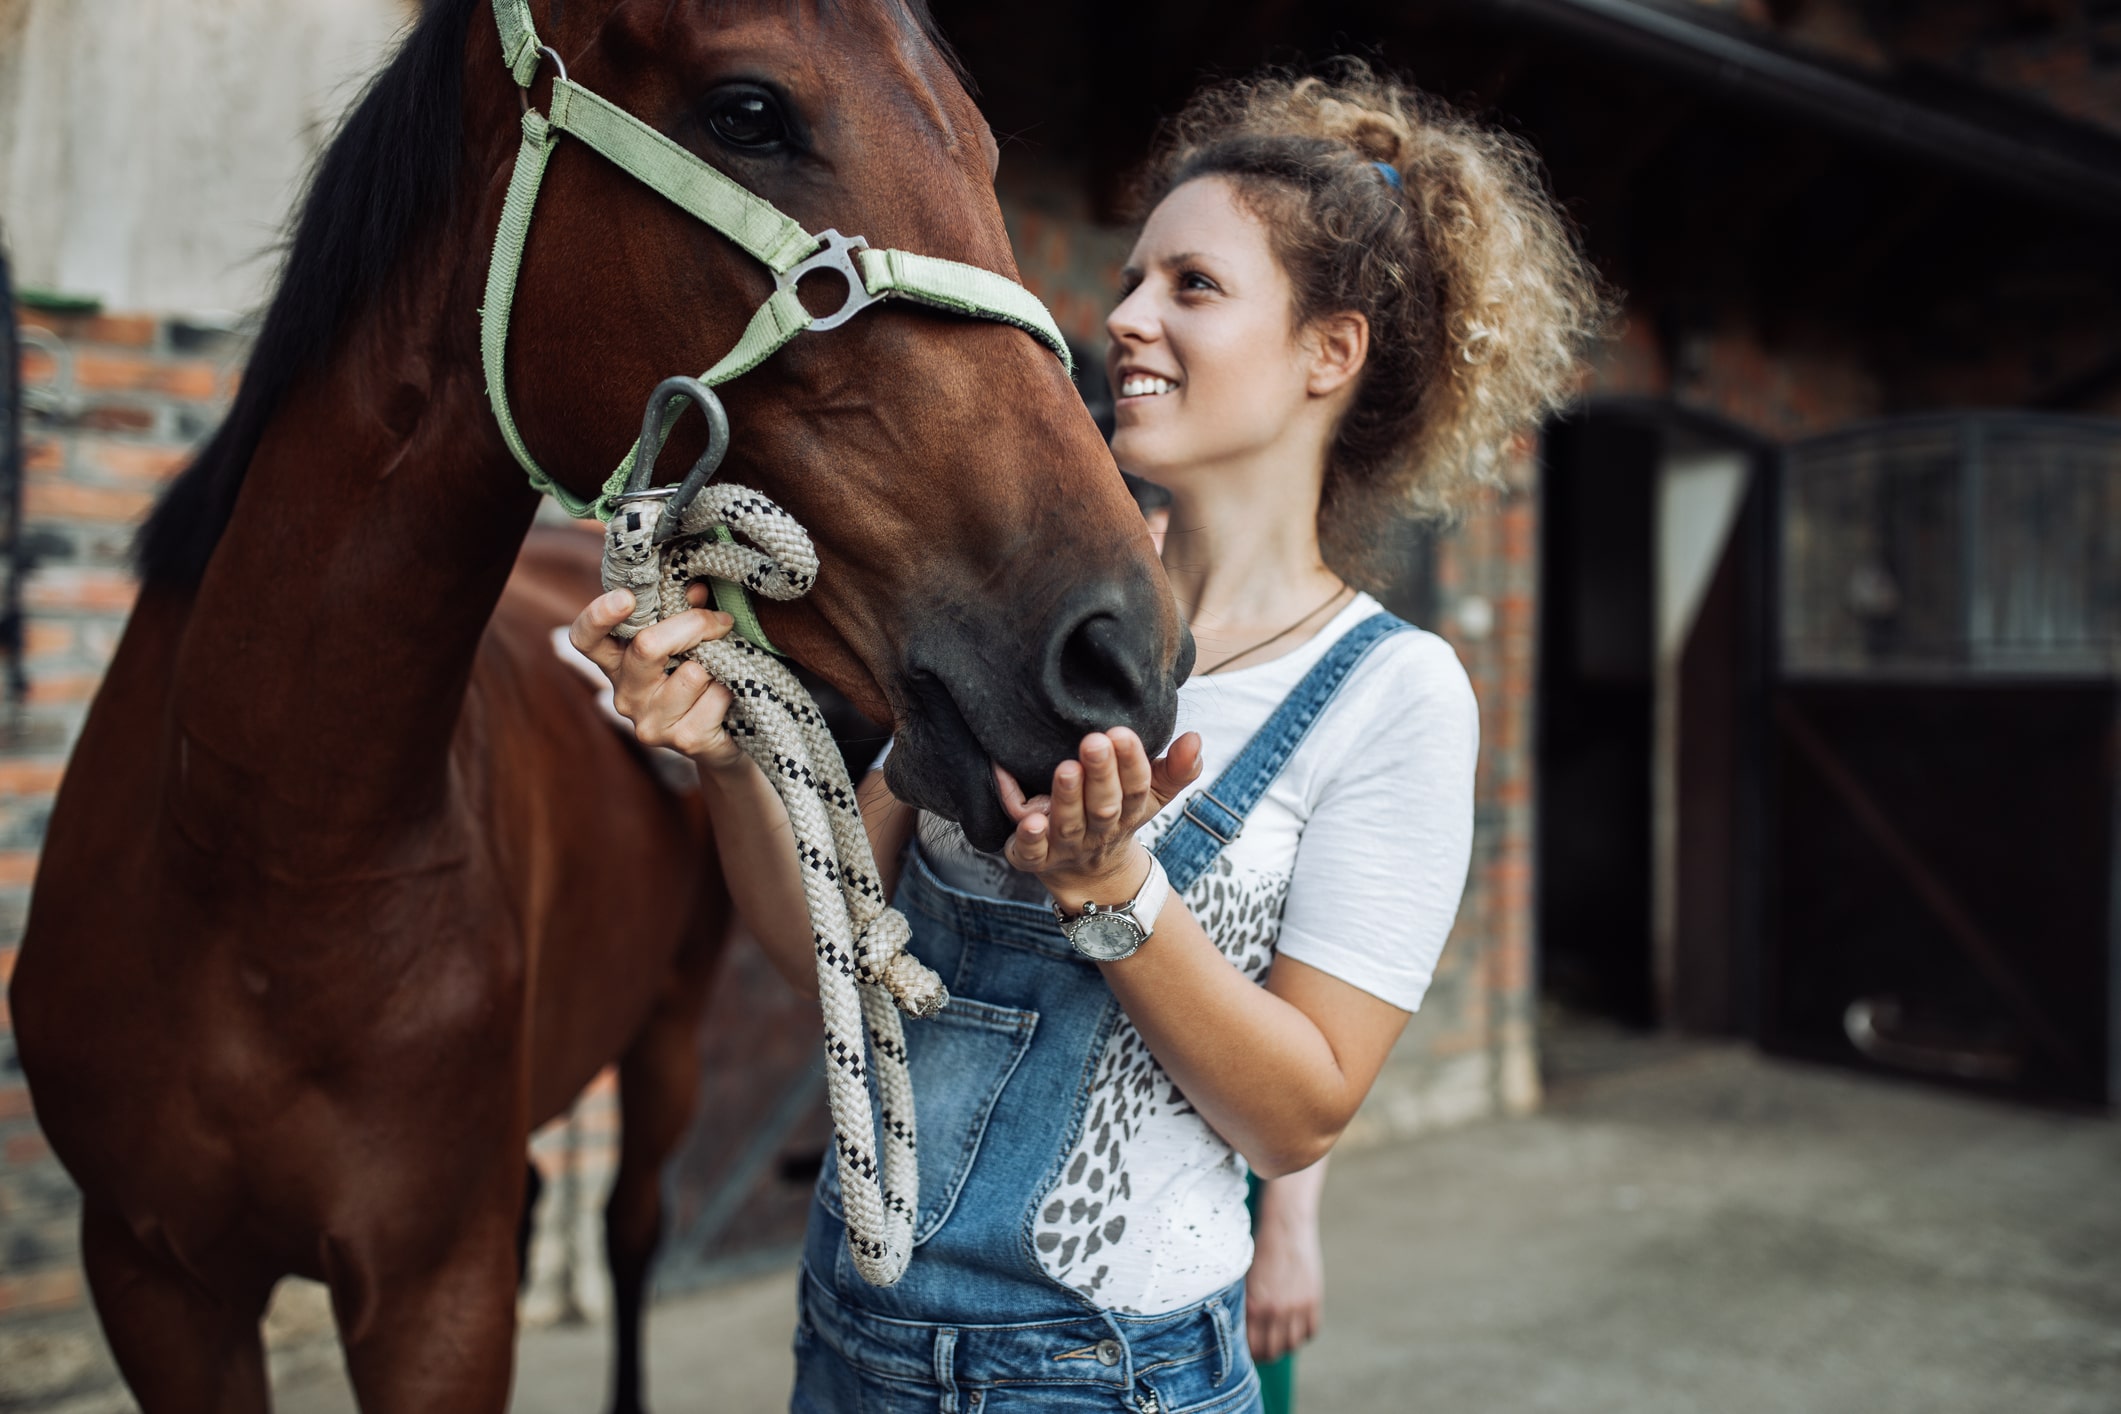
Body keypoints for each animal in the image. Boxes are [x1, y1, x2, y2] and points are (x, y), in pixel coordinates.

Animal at [8, 0, 1187, 1407]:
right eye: (748, 111)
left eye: (988, 147)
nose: (1123, 651)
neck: (257, 856)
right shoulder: (154, 1280)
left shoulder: (435, 1295)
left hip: (666, 1036)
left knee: (629, 1230)